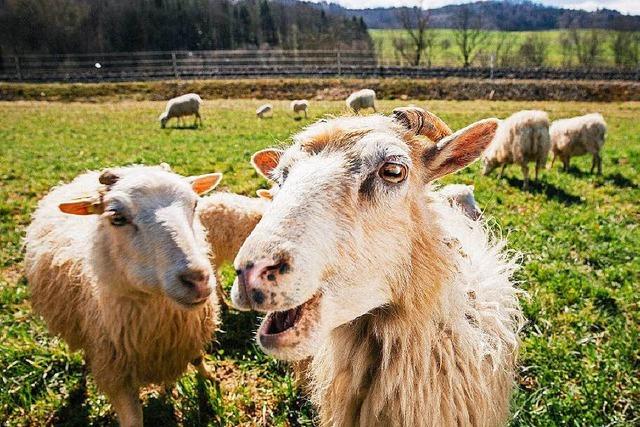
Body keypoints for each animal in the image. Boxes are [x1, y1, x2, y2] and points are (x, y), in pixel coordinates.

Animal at [24, 166, 222, 426]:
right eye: (117, 218)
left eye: (195, 204)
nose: (198, 280)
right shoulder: (117, 375)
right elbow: (133, 419)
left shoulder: (188, 336)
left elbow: (197, 358)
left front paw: (207, 378)